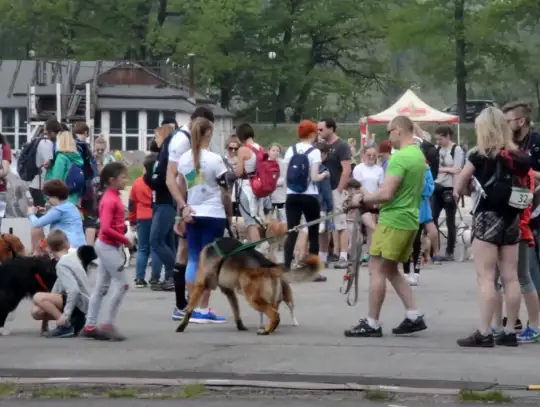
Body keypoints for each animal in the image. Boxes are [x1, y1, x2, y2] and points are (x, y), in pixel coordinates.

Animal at [176, 237, 320, 336]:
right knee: (273, 314)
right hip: (269, 298)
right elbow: (236, 310)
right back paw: (268, 329)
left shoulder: (200, 286)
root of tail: (268, 264)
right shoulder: (229, 291)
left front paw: (181, 326)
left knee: (275, 315)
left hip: (252, 298)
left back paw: (266, 331)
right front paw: (240, 326)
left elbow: (189, 308)